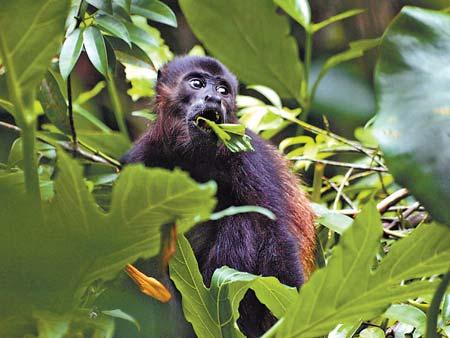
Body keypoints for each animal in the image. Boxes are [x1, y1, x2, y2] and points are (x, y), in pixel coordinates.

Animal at [121, 54, 314, 336]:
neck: (191, 160)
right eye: (197, 84)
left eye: (223, 90)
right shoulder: (138, 161)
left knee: (244, 223)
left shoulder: (247, 156)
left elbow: (277, 237)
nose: (214, 98)